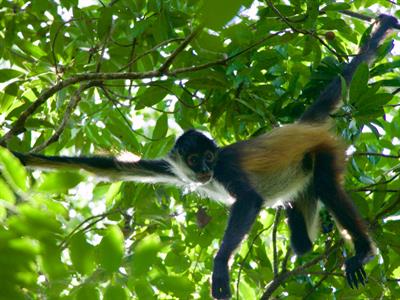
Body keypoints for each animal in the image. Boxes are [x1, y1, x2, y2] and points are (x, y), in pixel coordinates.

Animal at [8, 14, 396, 300]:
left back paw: (363, 250)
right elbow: (111, 168)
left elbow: (249, 199)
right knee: (303, 237)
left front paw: (220, 266)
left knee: (328, 187)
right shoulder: (172, 168)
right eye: (196, 160)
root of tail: (302, 126)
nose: (206, 169)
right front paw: (17, 156)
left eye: (211, 157)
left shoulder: (227, 168)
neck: (208, 171)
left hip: (326, 152)